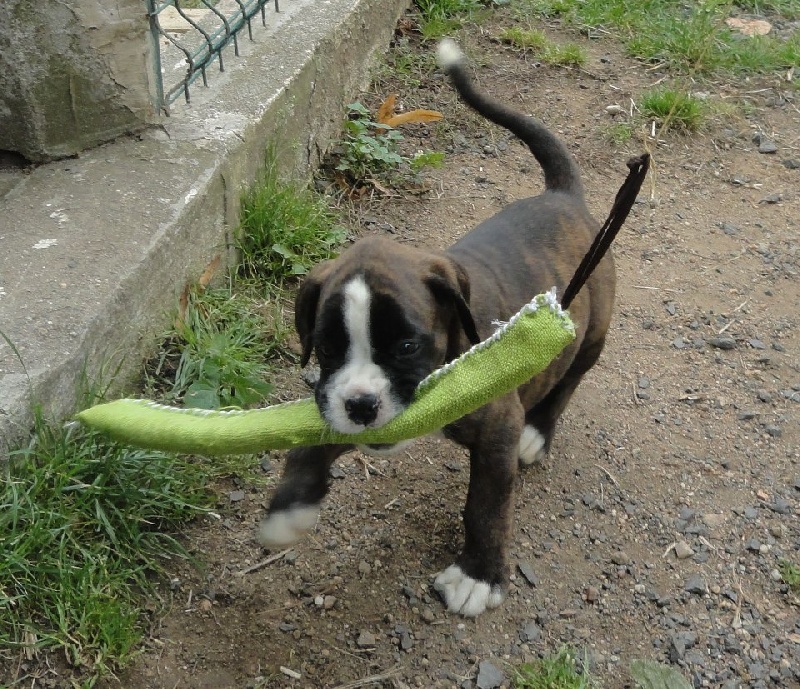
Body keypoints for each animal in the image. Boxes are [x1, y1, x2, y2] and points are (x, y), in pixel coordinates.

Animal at [260, 39, 616, 620]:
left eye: (407, 346)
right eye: (328, 349)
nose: (362, 406)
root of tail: (563, 197)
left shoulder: (496, 431)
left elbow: (486, 506)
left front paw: (478, 576)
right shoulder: (334, 398)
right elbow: (314, 440)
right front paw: (290, 506)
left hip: (592, 333)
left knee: (568, 380)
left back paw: (540, 432)